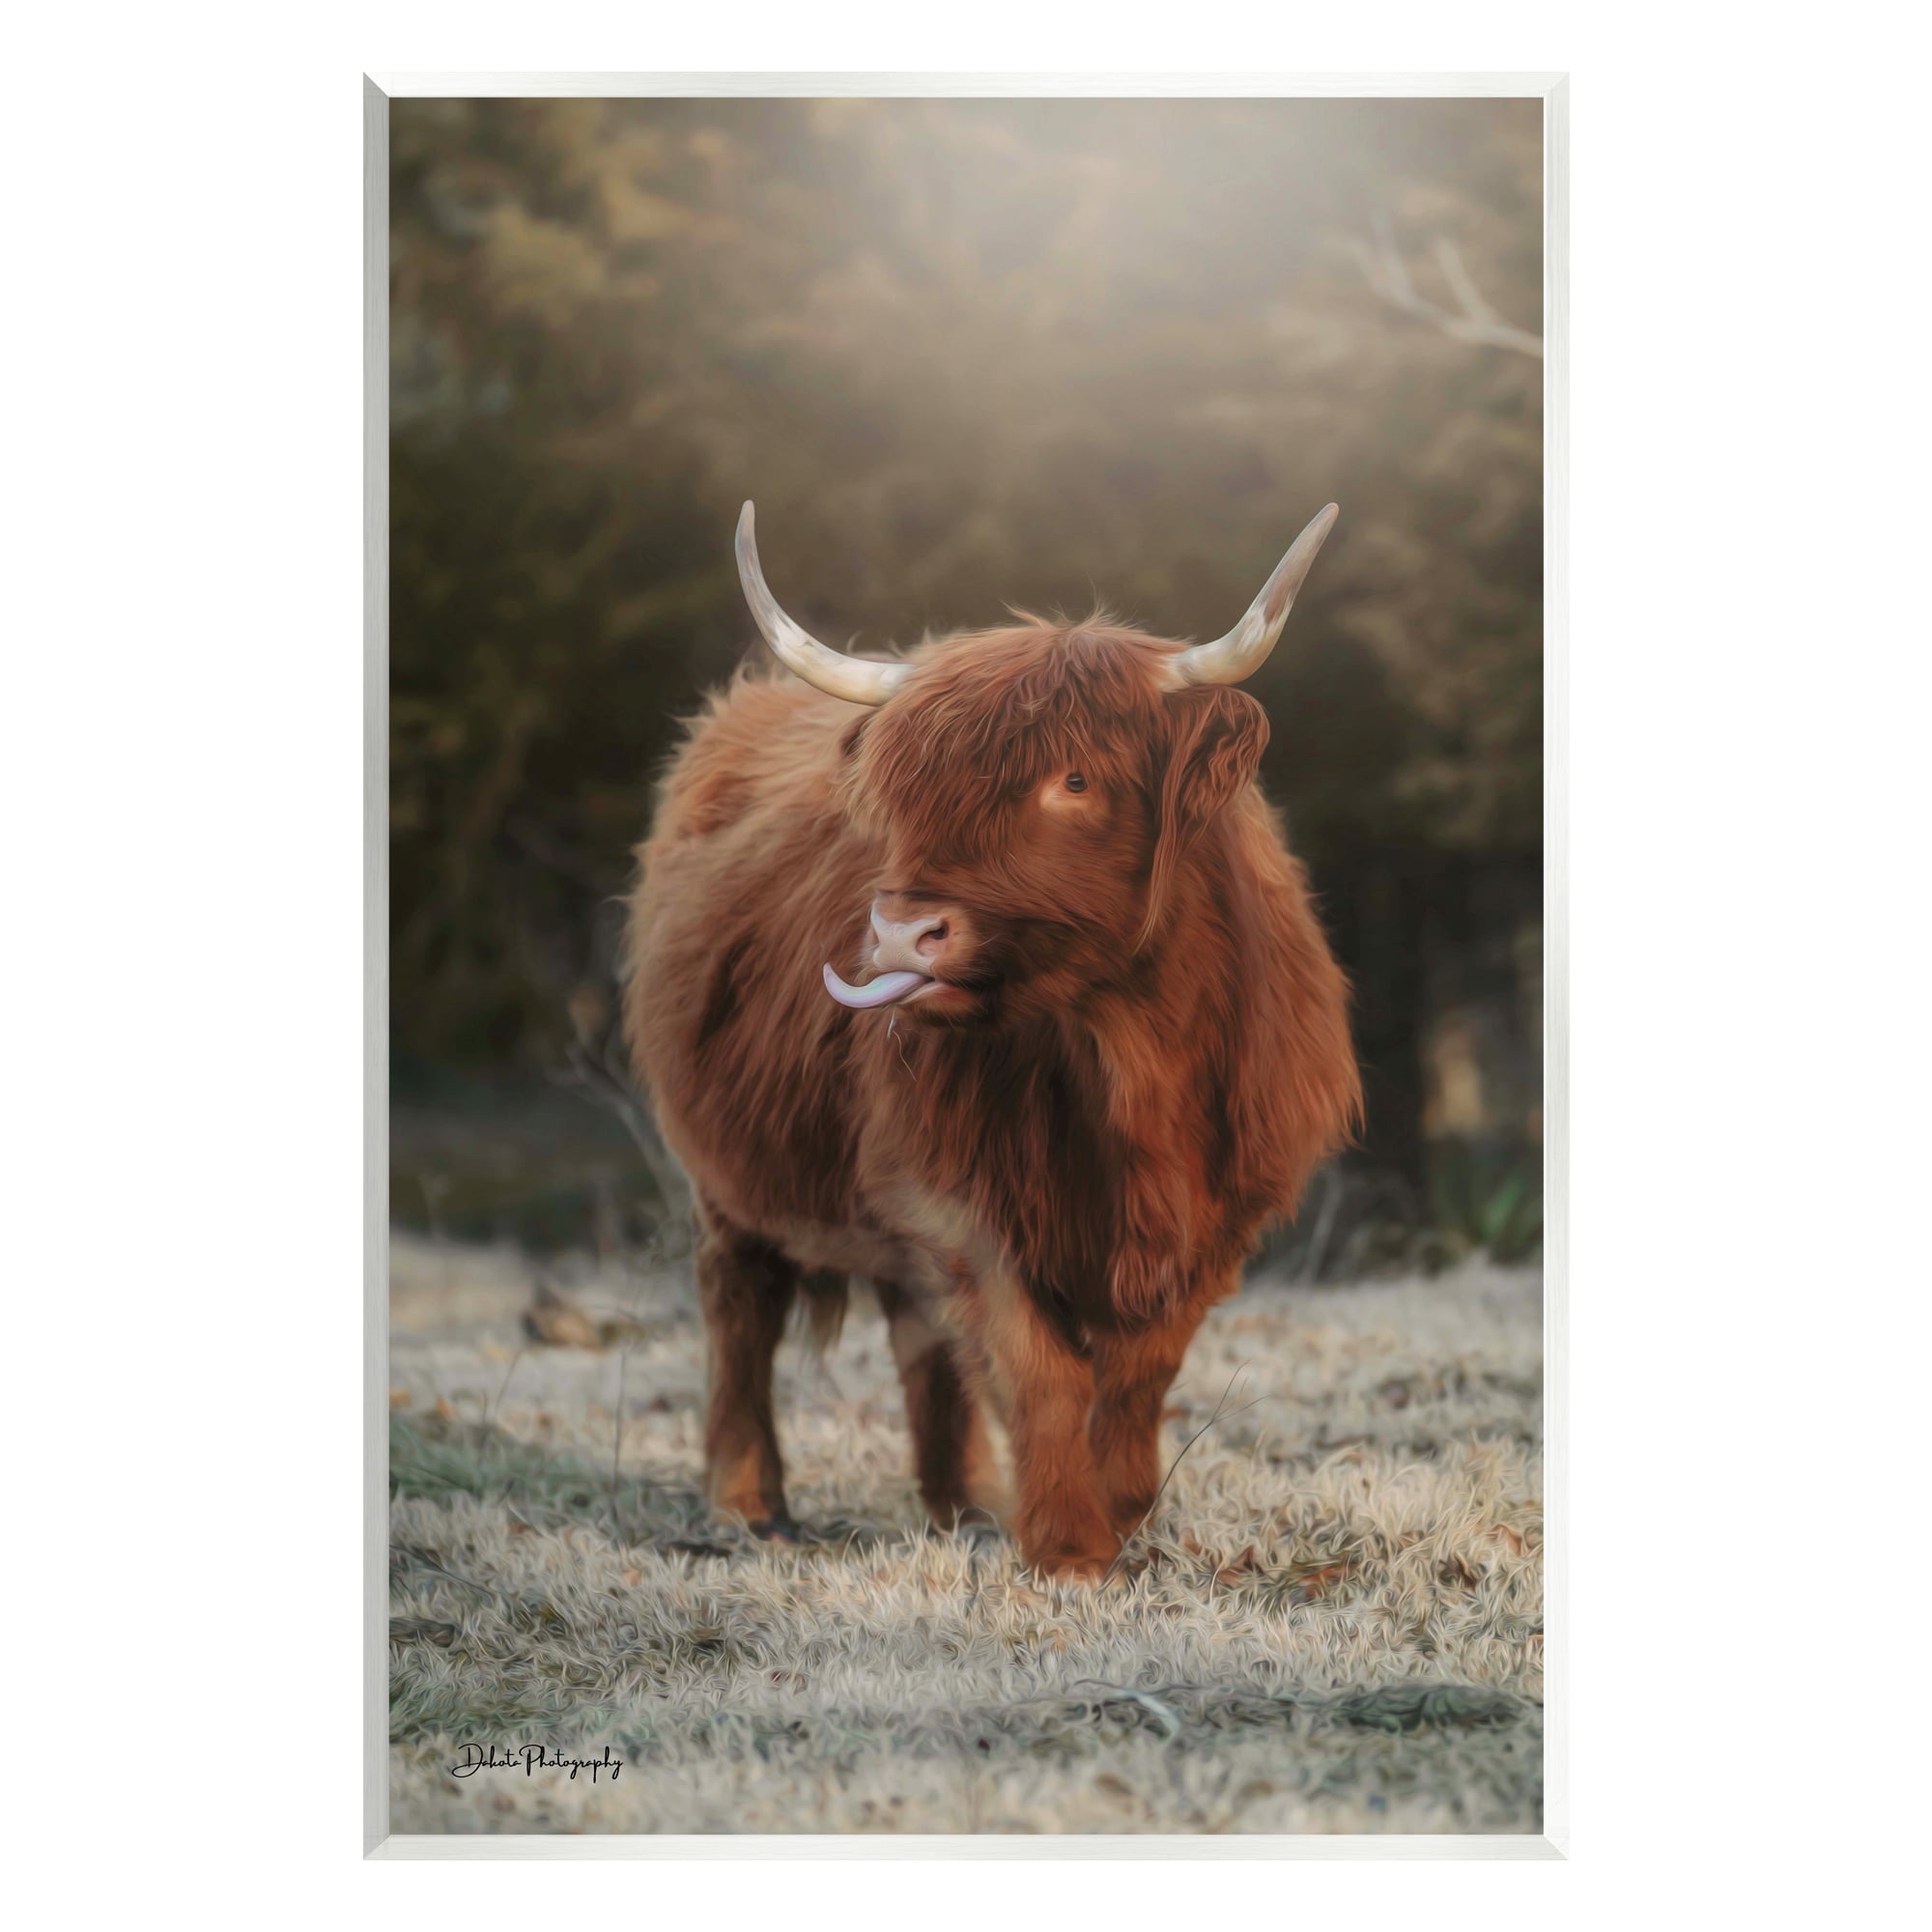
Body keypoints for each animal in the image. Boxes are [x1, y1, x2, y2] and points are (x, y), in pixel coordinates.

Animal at [623, 503, 1361, 1580]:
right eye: (903, 792)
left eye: (1075, 777)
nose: (899, 934)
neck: (1123, 1056)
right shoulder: (962, 1200)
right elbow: (1038, 1367)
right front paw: (1067, 1549)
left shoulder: (1221, 1212)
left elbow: (1140, 1368)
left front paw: (1124, 1516)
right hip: (726, 1170)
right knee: (740, 1304)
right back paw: (749, 1502)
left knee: (915, 1334)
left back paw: (963, 1502)